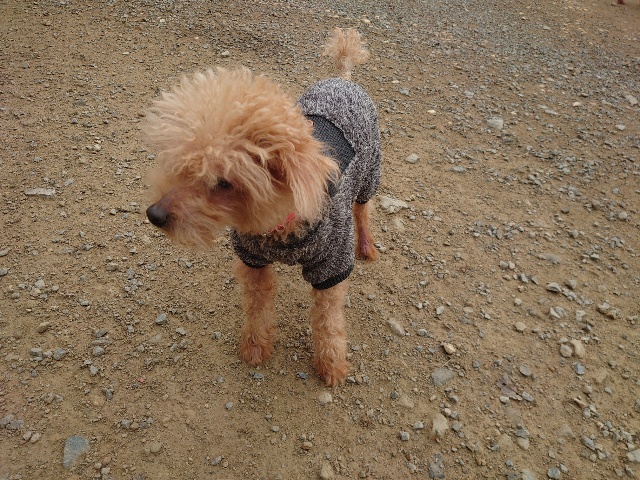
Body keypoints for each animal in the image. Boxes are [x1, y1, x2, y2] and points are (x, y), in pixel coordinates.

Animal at [144, 28, 381, 386]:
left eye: (224, 183)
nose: (154, 214)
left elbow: (328, 320)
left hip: (370, 174)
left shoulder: (331, 267)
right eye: (184, 164)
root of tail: (342, 77)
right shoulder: (252, 260)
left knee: (363, 210)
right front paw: (255, 347)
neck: (278, 224)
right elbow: (257, 307)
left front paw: (332, 365)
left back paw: (366, 244)